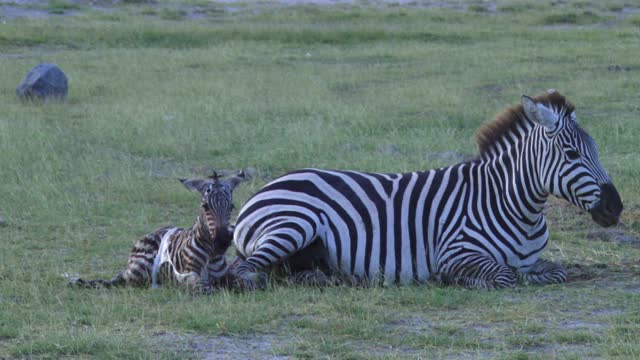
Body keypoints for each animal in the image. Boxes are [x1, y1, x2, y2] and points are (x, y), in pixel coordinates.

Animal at [70, 171, 245, 292]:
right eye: (205, 207)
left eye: (232, 207)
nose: (222, 241)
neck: (210, 253)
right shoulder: (189, 275)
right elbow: (206, 288)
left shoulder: (224, 275)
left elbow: (240, 281)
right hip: (142, 271)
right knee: (125, 279)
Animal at [232, 90, 624, 290]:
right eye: (572, 154)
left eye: (597, 149)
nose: (615, 207)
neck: (511, 204)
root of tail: (263, 188)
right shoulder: (455, 251)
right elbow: (503, 275)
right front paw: (459, 280)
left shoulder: (534, 259)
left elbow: (553, 271)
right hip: (293, 224)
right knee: (244, 271)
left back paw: (332, 278)